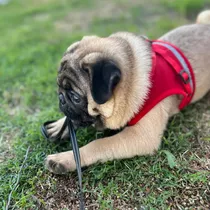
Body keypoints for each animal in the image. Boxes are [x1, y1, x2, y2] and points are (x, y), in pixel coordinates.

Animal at [44, 10, 210, 174]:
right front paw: (59, 126)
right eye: (59, 87)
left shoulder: (141, 136)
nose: (61, 98)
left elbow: (99, 144)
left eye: (75, 97)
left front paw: (65, 159)